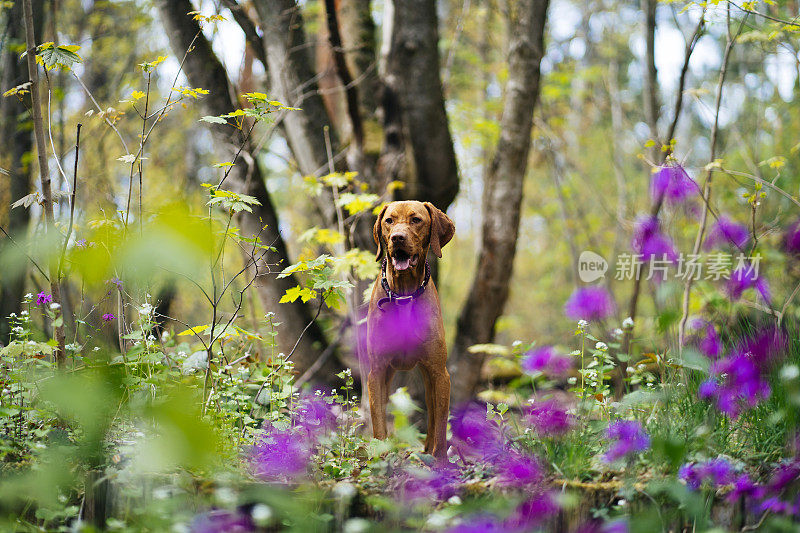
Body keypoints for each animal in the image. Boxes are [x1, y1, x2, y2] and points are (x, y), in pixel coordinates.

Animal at [368, 200, 456, 458]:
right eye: (389, 221)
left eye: (416, 220)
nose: (397, 237)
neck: (404, 292)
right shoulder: (377, 371)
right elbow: (379, 422)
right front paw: (381, 458)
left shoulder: (440, 373)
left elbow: (440, 425)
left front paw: (440, 462)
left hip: (429, 378)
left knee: (433, 414)